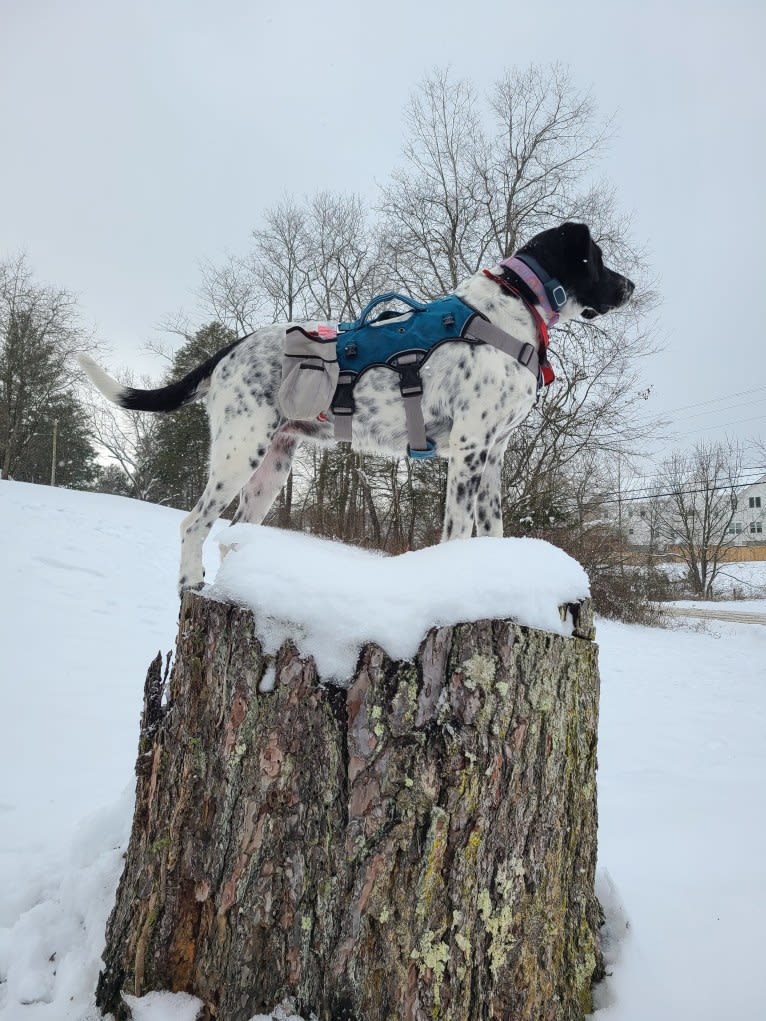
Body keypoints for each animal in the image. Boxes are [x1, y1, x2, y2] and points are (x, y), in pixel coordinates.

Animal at [79, 221, 637, 592]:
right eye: (598, 256)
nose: (631, 286)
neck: (513, 307)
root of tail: (232, 347)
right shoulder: (468, 449)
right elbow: (457, 531)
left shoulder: (494, 455)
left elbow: (491, 528)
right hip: (241, 451)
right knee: (193, 524)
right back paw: (191, 582)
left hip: (273, 466)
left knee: (233, 532)